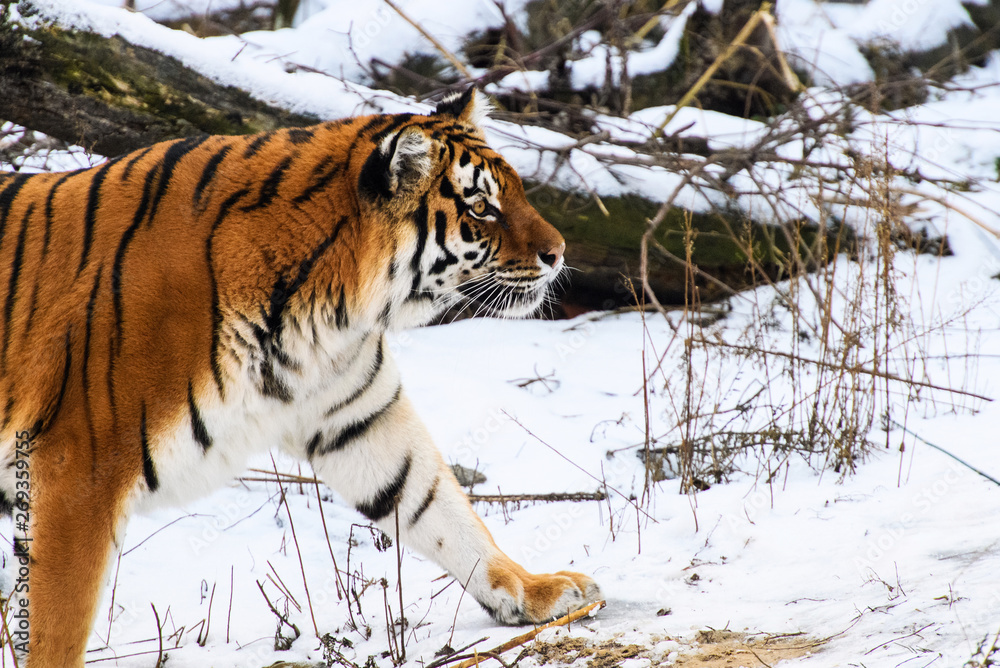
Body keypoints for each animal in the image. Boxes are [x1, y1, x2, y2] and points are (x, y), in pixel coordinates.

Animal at [0, 87, 601, 666]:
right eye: (481, 207)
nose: (558, 253)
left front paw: (533, 591)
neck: (332, 311)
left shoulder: (357, 416)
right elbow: (57, 627)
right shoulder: (78, 468)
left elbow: (436, 504)